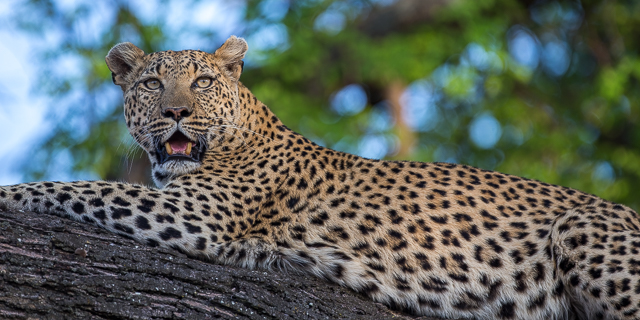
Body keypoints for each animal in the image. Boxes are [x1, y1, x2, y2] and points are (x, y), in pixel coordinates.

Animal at [1, 36, 640, 318]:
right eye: (152, 83)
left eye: (202, 81)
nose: (176, 112)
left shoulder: (194, 214)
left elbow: (77, 187)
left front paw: (10, 193)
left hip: (584, 231)